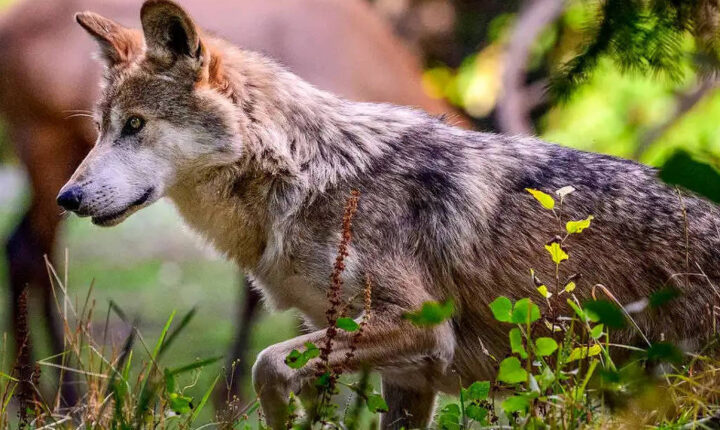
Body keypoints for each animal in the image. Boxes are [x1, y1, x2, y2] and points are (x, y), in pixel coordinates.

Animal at [58, 0, 720, 427]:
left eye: (135, 126)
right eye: (102, 129)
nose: (66, 198)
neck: (311, 177)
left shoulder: (422, 325)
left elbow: (268, 365)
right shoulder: (410, 377)